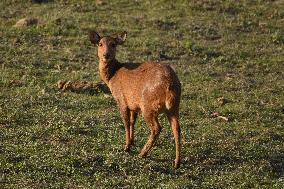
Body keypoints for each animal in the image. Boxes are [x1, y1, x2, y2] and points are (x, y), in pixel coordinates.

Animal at [89, 30, 182, 168]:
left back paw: (142, 153)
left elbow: (126, 122)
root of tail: (170, 86)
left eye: (113, 44)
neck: (112, 77)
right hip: (174, 107)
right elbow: (133, 121)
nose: (106, 55)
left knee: (156, 128)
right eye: (100, 44)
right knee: (177, 128)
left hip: (148, 105)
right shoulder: (133, 104)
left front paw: (127, 146)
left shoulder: (121, 100)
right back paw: (176, 162)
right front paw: (132, 141)